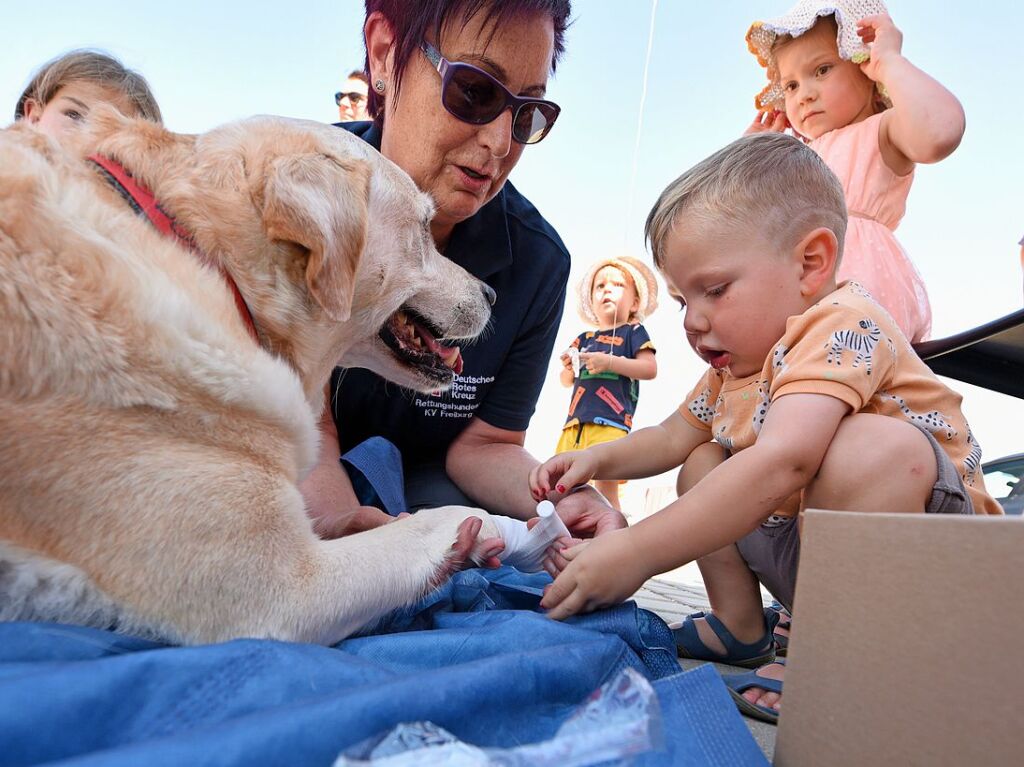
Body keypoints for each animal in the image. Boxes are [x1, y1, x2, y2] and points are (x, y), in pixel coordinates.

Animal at [0, 110, 503, 643]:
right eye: (425, 228)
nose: (492, 294)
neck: (217, 266)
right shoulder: (280, 593)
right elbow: (419, 526)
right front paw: (484, 521)